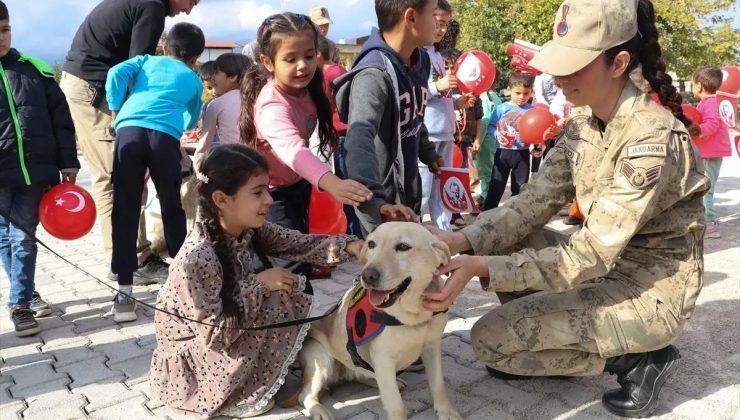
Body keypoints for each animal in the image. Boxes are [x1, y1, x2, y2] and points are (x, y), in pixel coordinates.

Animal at [298, 221, 460, 418]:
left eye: (403, 247)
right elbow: (396, 405)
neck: (411, 316)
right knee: (304, 395)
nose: (367, 275)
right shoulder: (384, 359)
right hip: (321, 359)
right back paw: (318, 409)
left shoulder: (432, 346)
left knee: (364, 374)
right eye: (371, 244)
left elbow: (439, 384)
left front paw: (446, 411)